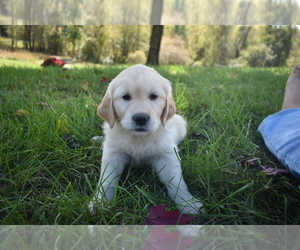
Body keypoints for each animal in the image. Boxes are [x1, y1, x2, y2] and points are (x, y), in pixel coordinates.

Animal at [88, 65, 203, 215]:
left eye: (153, 96)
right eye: (126, 97)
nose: (141, 118)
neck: (139, 137)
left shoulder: (166, 156)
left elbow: (176, 181)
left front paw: (188, 203)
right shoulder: (113, 154)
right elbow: (107, 179)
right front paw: (100, 202)